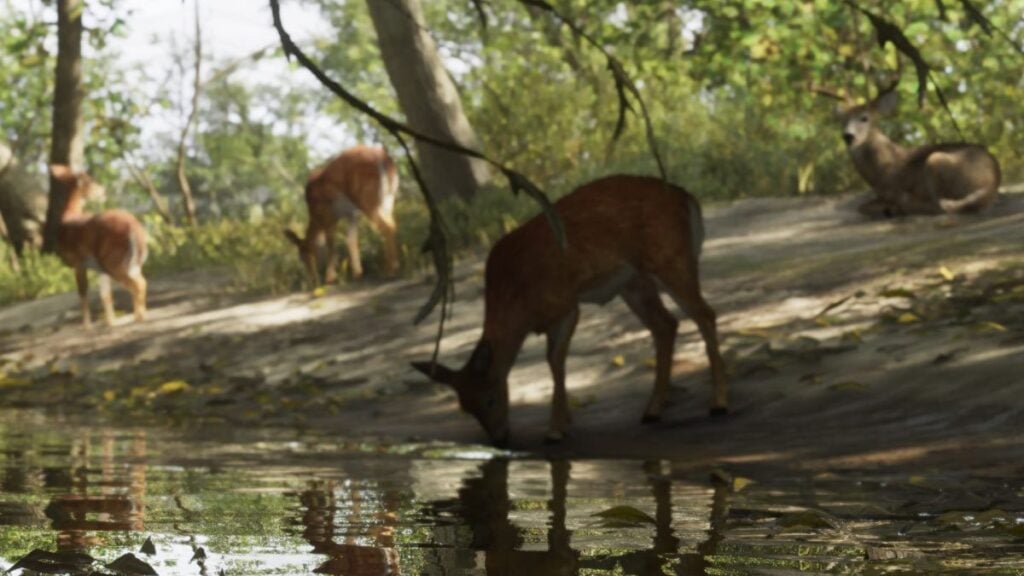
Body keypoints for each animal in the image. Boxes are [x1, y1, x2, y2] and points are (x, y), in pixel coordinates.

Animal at [50, 165, 148, 329]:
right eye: (90, 180)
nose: (103, 191)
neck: (68, 217)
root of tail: (133, 228)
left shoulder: (78, 262)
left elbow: (83, 292)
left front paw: (87, 326)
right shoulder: (95, 268)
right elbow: (105, 295)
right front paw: (108, 322)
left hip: (113, 261)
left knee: (139, 284)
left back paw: (139, 317)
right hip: (129, 262)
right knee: (141, 282)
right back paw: (136, 316)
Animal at [283, 145, 400, 287]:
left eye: (303, 255)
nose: (313, 281)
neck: (314, 215)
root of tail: (383, 159)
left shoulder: (328, 214)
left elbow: (331, 243)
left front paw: (330, 278)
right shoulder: (351, 214)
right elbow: (351, 240)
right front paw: (357, 273)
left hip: (367, 199)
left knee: (387, 227)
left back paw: (390, 271)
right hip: (388, 198)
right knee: (392, 224)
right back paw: (394, 267)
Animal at [412, 175, 728, 447]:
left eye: (490, 398)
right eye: (465, 407)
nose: (500, 440)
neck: (517, 303)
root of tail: (688, 198)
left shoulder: (565, 304)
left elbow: (554, 361)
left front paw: (555, 430)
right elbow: (556, 362)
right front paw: (565, 421)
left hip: (671, 257)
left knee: (704, 314)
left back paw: (718, 404)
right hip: (633, 282)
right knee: (665, 325)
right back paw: (652, 411)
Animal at [826, 85, 1001, 217]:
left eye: (864, 118)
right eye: (842, 121)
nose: (848, 136)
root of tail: (991, 182)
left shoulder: (896, 187)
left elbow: (864, 207)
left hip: (936, 159)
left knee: (940, 207)